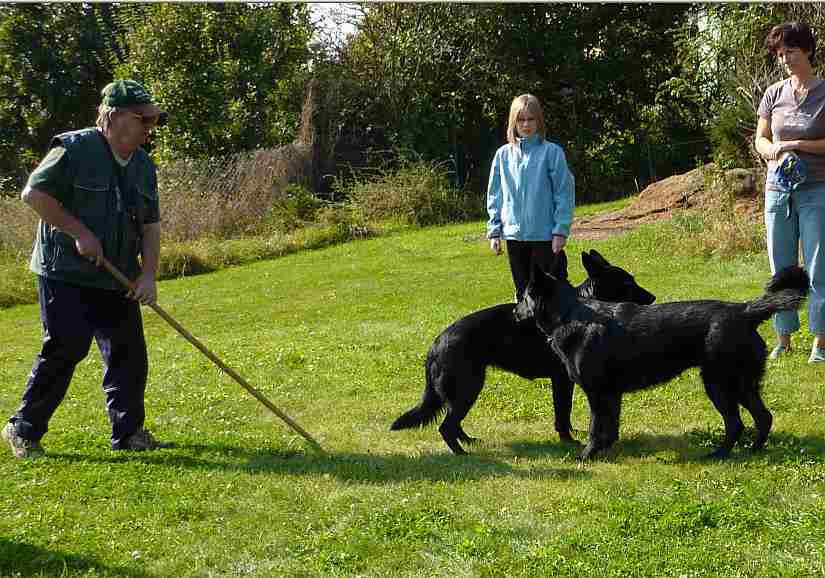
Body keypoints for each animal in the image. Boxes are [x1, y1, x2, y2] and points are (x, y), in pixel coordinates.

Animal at [390, 250, 652, 452]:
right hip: (468, 388)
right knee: (446, 426)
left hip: (467, 390)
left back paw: (469, 441)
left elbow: (565, 413)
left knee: (453, 423)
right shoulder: (561, 381)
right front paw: (567, 440)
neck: (575, 308)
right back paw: (462, 453)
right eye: (628, 284)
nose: (653, 297)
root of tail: (435, 345)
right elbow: (562, 412)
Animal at [520, 252, 808, 460]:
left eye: (523, 297)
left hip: (718, 384)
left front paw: (586, 456)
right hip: (742, 384)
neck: (571, 314)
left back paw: (717, 455)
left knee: (736, 423)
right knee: (763, 417)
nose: (514, 310)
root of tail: (745, 311)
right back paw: (752, 451)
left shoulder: (597, 392)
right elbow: (610, 428)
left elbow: (594, 428)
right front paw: (607, 451)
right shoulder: (612, 394)